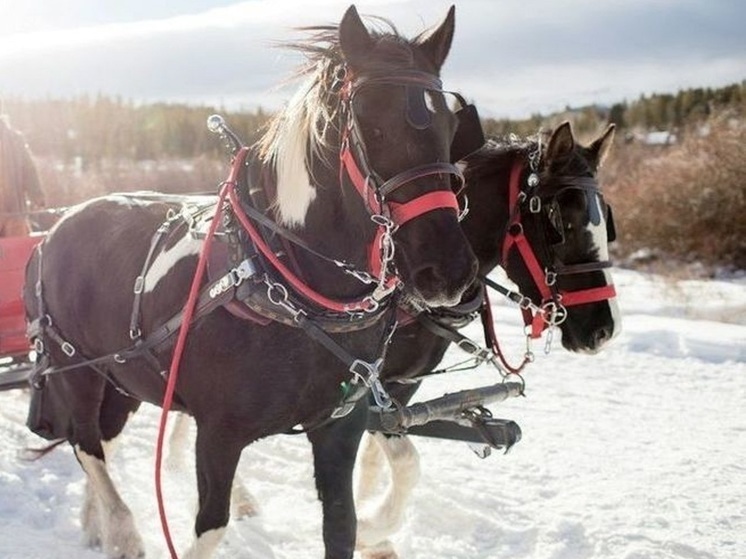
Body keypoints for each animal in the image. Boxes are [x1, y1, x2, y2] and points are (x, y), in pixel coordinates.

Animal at [24, 5, 476, 559]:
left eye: (451, 122)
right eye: (370, 124)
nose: (448, 271)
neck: (289, 284)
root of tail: (54, 229)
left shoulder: (340, 427)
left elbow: (344, 524)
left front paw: (371, 528)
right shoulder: (219, 433)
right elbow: (210, 526)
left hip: (123, 376)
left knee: (100, 439)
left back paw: (96, 522)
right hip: (77, 369)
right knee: (85, 442)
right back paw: (122, 529)